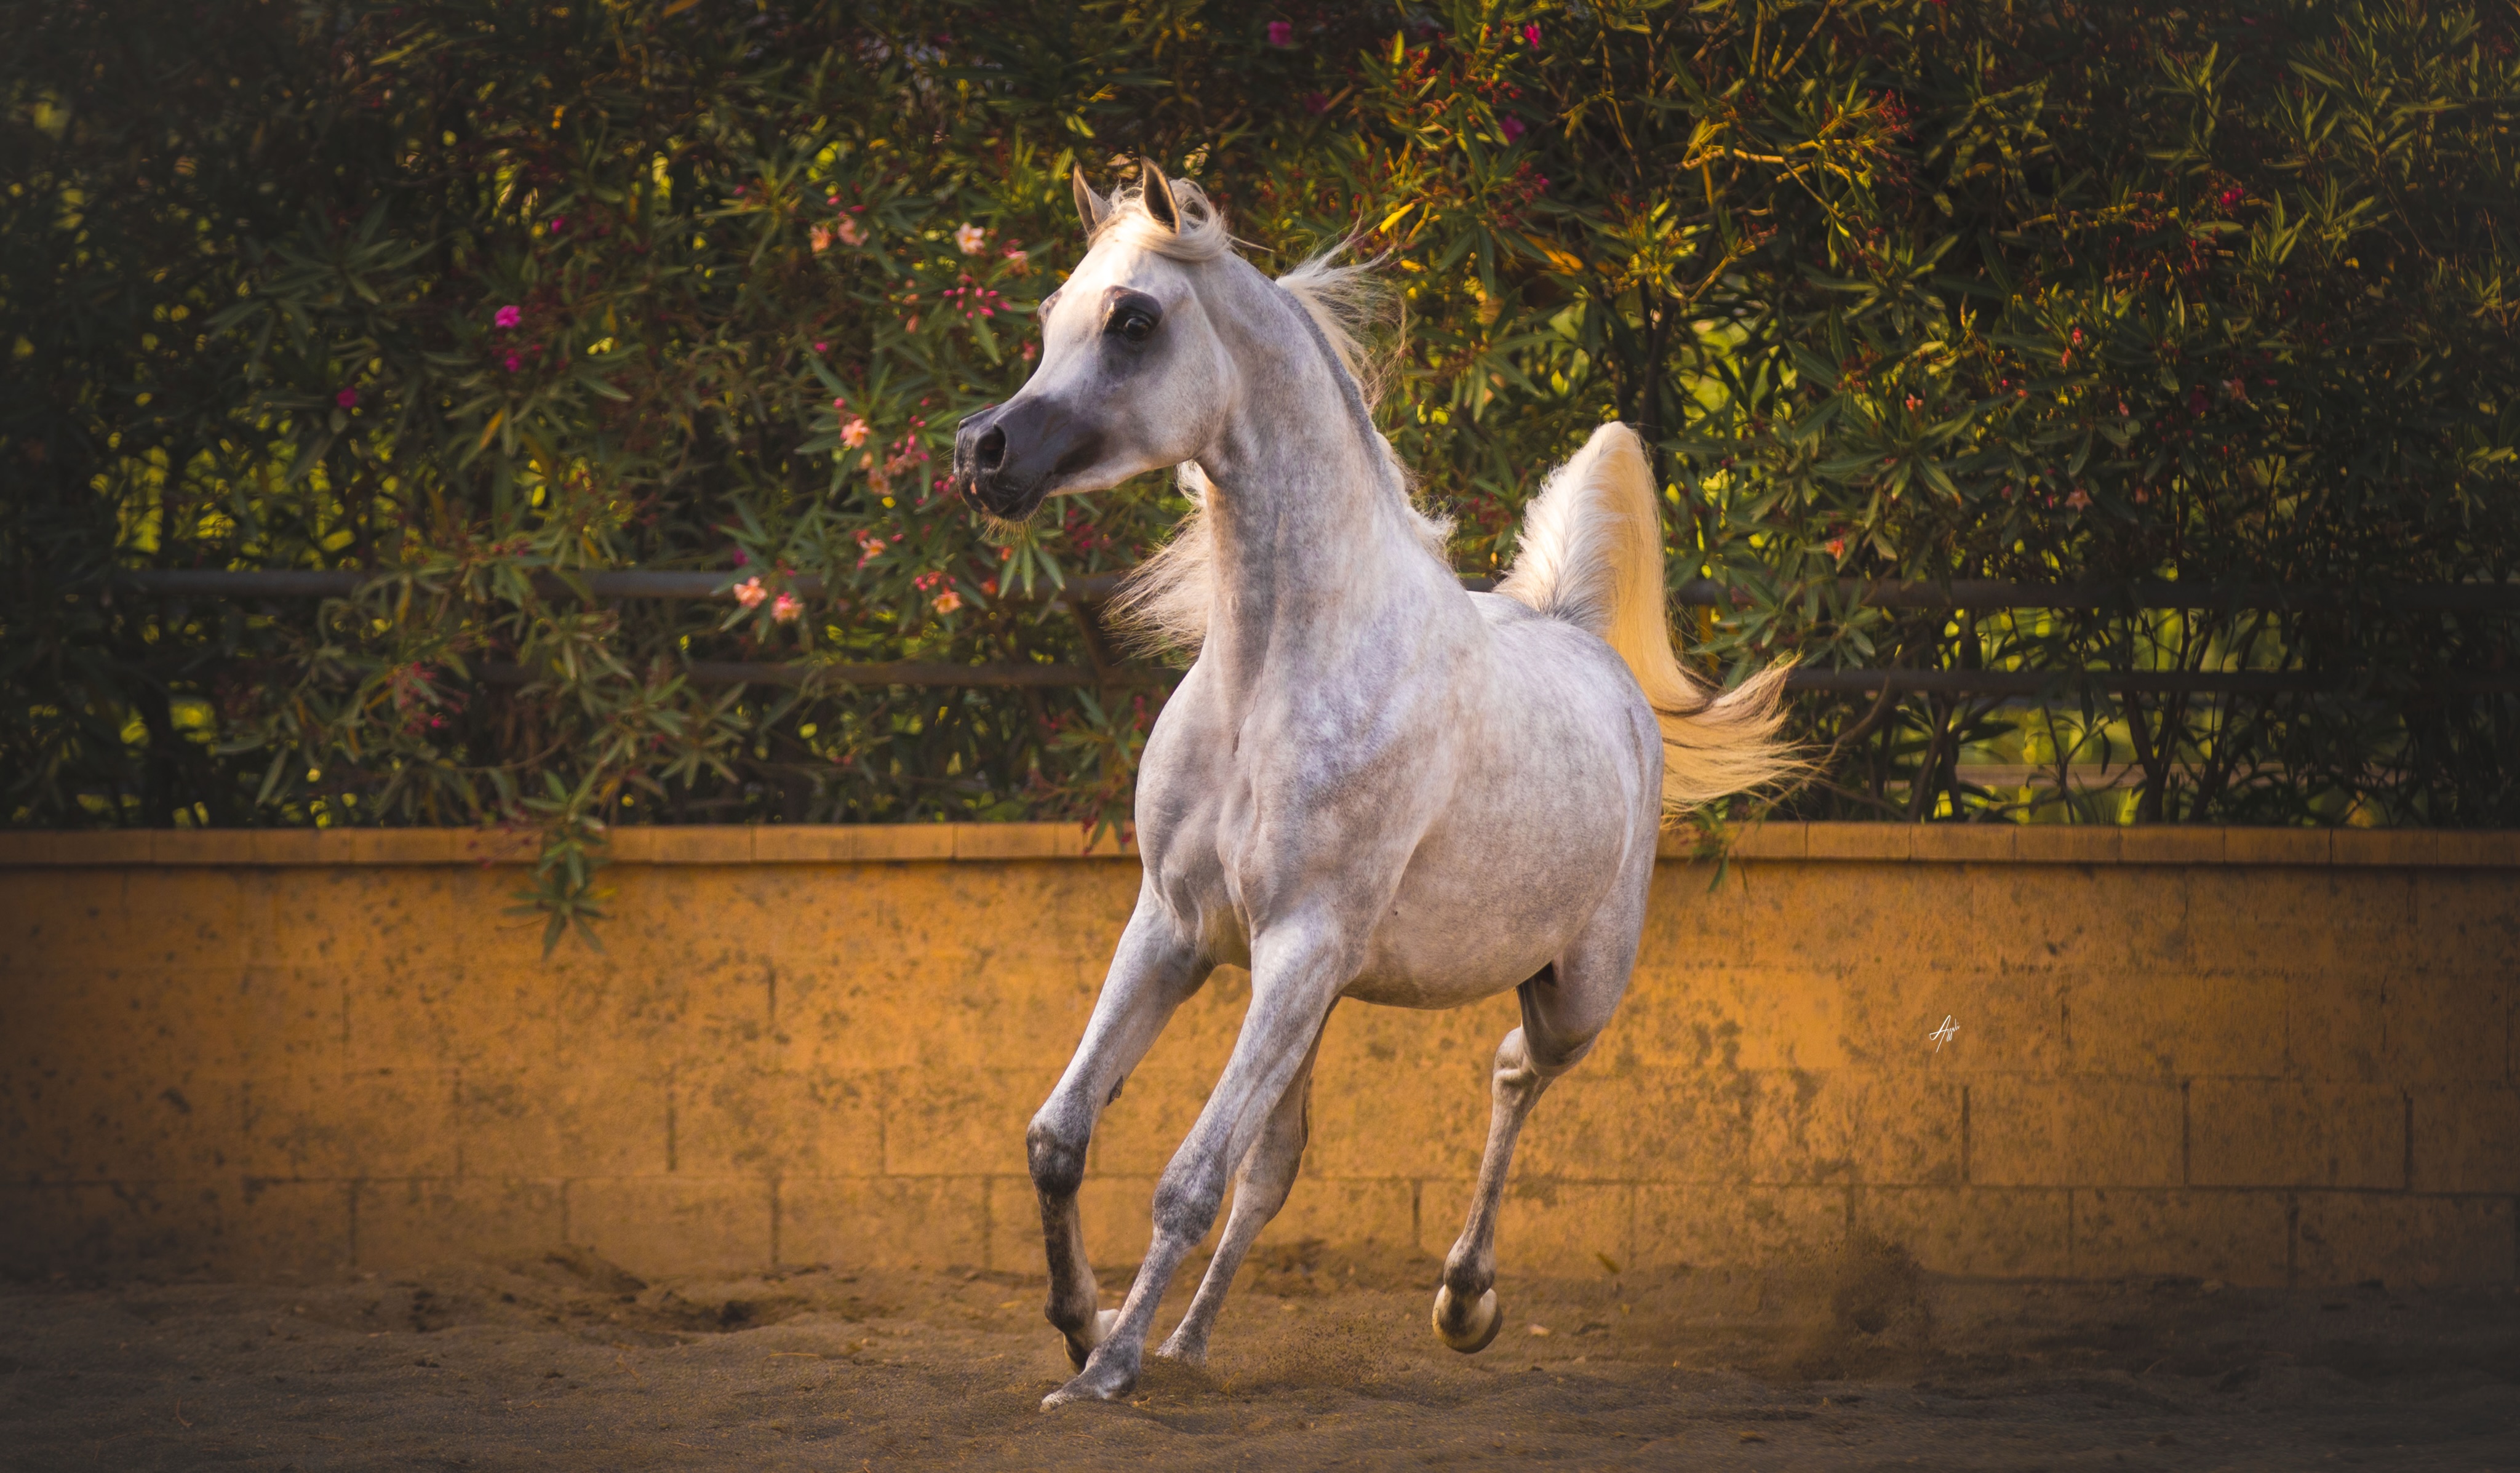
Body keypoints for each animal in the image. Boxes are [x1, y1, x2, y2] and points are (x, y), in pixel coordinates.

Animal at [949, 160, 1791, 1409]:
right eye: (1051, 312)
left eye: (1134, 320)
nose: (985, 453)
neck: (1275, 676)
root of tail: (1579, 635)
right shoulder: (1180, 930)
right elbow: (1062, 1134)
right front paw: (1078, 1324)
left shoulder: (1298, 946)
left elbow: (1187, 1176)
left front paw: (1105, 1369)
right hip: (1324, 994)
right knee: (1280, 1161)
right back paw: (1194, 1344)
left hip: (1570, 993)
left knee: (1511, 1074)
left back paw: (1463, 1301)